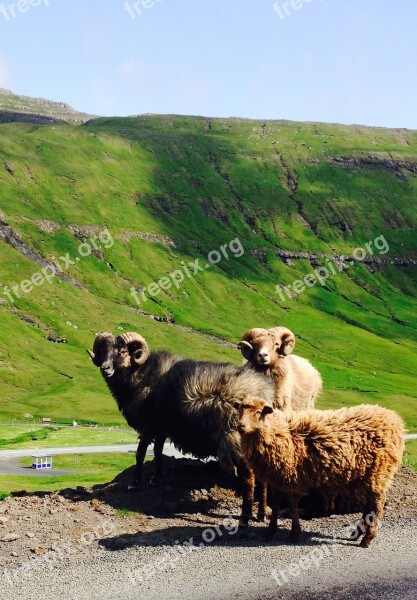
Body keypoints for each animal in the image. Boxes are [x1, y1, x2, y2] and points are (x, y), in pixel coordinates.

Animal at [237, 396, 404, 548]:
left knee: (377, 503)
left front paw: (294, 534)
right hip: (367, 474)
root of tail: (395, 421)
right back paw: (358, 533)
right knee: (370, 502)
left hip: (379, 471)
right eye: (240, 410)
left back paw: (367, 538)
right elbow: (277, 501)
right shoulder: (278, 477)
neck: (281, 432)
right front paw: (270, 531)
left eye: (258, 412)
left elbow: (292, 502)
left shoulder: (293, 477)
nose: (240, 426)